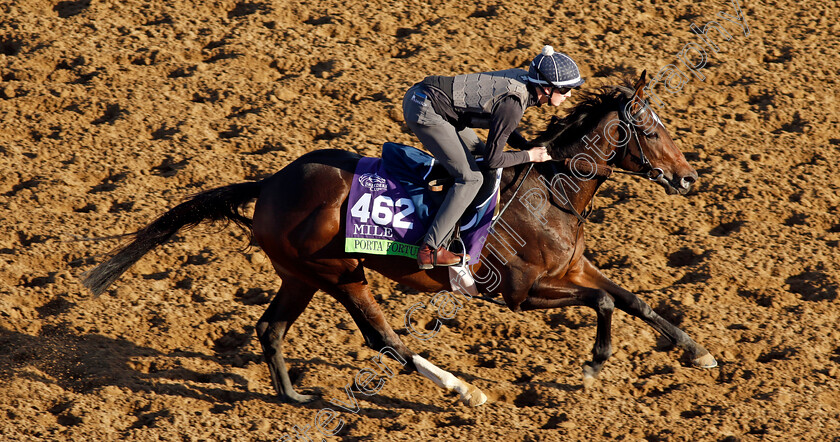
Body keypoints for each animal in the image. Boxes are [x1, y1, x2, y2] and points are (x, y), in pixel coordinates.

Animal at [83, 71, 716, 408]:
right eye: (651, 129)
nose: (689, 178)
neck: (550, 193)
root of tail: (271, 183)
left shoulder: (571, 269)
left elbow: (634, 299)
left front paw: (700, 352)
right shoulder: (519, 291)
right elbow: (606, 302)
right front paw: (594, 364)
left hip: (300, 275)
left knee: (270, 328)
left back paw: (295, 397)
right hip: (341, 273)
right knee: (383, 338)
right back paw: (465, 391)